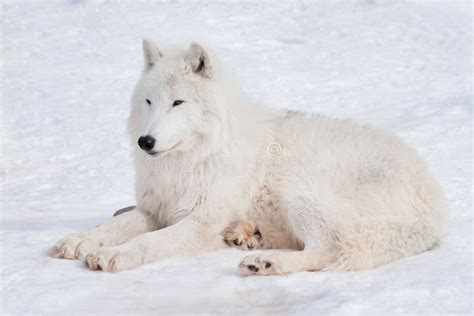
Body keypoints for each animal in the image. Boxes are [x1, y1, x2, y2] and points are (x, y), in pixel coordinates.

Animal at [50, 40, 446, 276]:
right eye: (149, 102)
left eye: (178, 102)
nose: (145, 141)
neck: (191, 159)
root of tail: (435, 206)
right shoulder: (155, 209)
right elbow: (113, 226)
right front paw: (78, 241)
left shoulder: (200, 221)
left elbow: (148, 241)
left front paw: (115, 255)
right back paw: (250, 237)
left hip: (298, 191)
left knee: (332, 249)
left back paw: (265, 261)